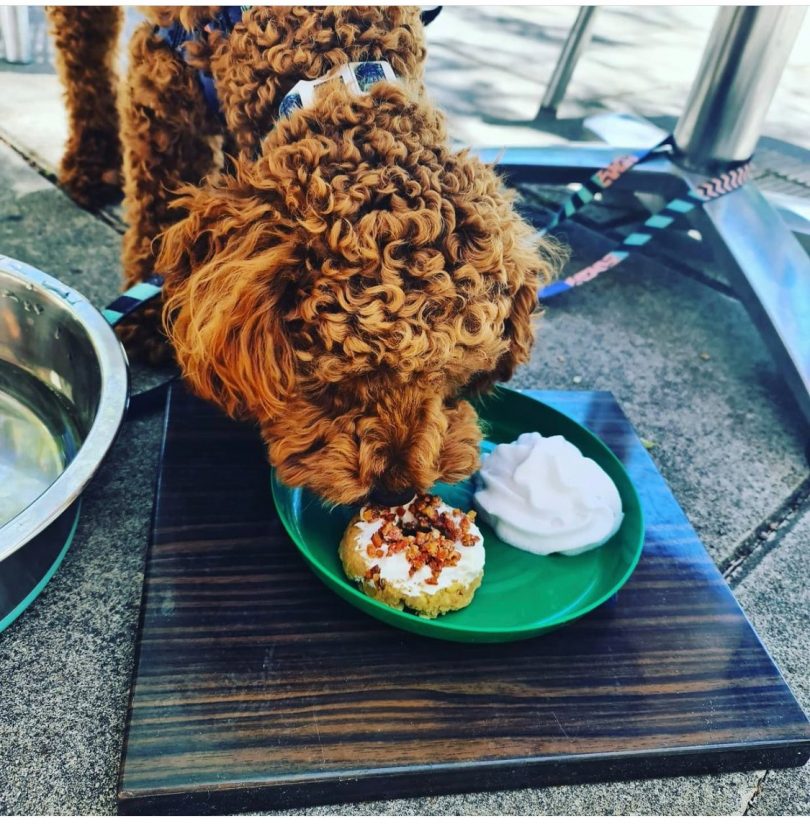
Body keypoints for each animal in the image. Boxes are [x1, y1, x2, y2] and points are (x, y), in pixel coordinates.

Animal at [47, 6, 560, 506]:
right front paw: (149, 314)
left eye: (454, 378)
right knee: (84, 52)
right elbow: (158, 196)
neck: (332, 56)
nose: (394, 492)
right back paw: (90, 167)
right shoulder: (164, 69)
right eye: (335, 383)